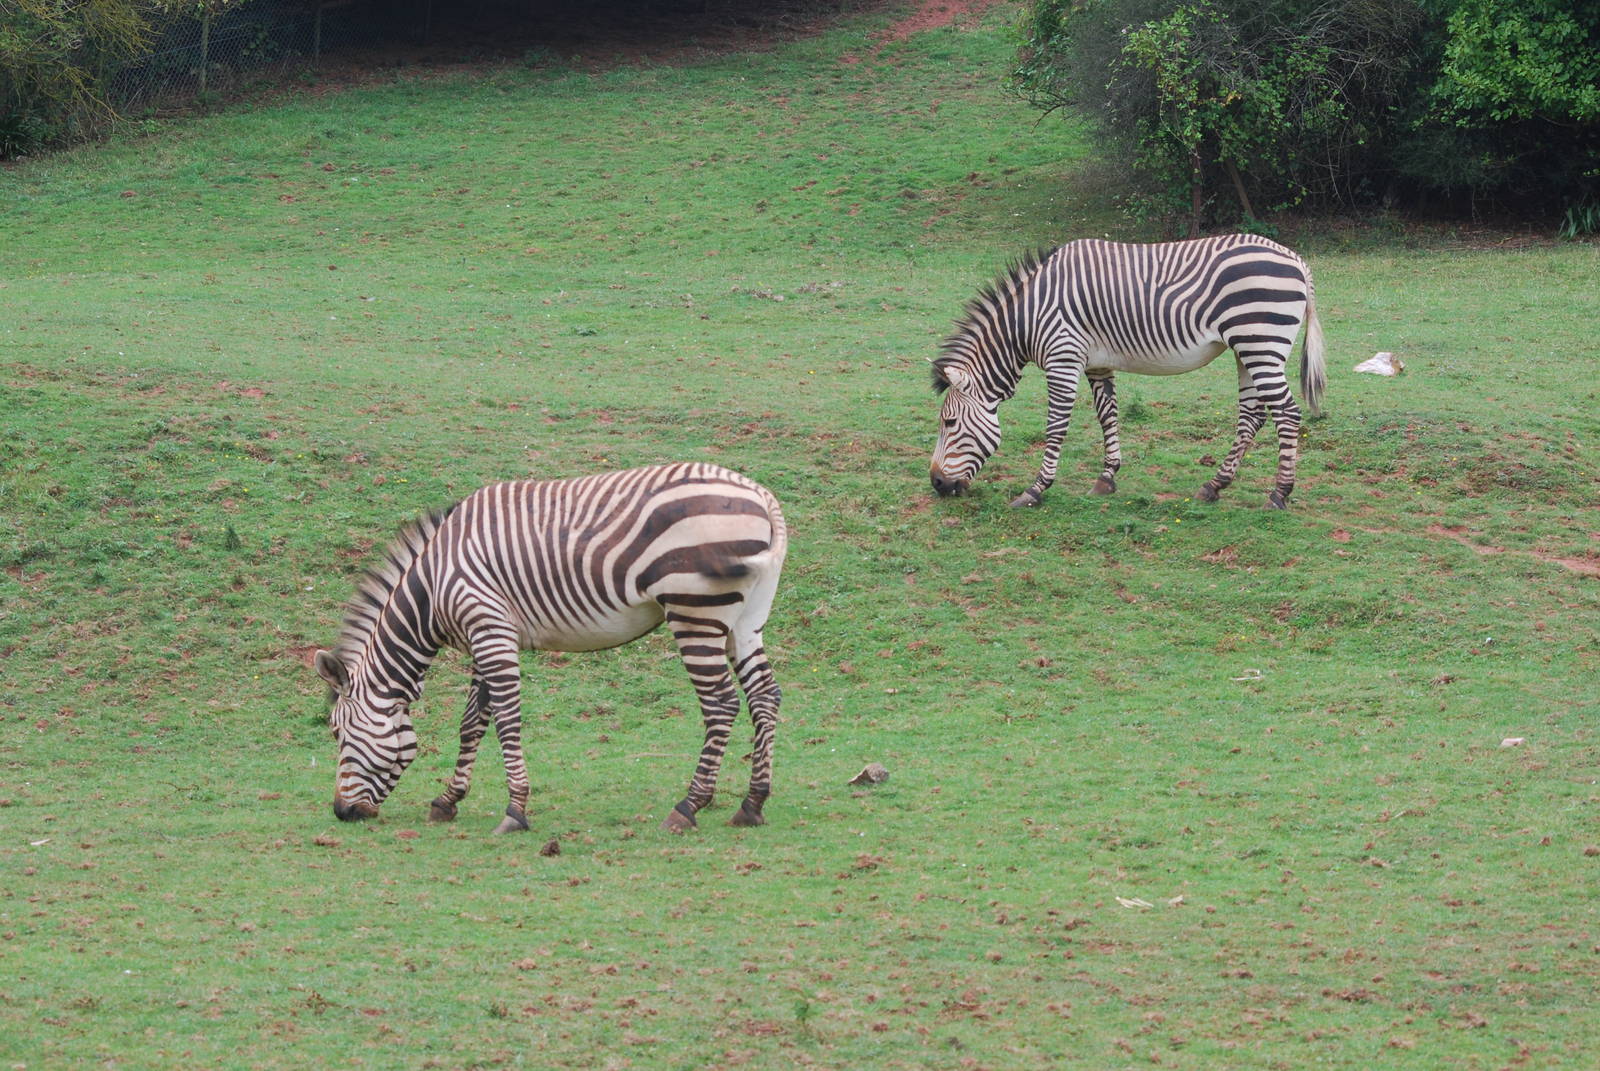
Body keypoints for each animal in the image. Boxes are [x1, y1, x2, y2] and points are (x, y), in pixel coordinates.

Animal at [312, 462, 788, 835]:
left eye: (336, 732)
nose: (342, 813)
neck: (431, 589)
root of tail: (762, 496)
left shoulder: (489, 629)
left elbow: (505, 721)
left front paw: (515, 811)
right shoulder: (485, 635)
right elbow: (472, 722)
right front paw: (447, 801)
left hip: (695, 610)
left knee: (721, 703)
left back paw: (688, 806)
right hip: (746, 618)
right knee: (764, 695)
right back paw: (752, 804)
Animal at [929, 234, 1327, 509]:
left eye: (949, 423)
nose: (936, 484)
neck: (1028, 318)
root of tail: (1296, 259)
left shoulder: (1063, 358)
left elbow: (1055, 427)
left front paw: (1036, 490)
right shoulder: (1097, 363)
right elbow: (1108, 416)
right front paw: (1107, 478)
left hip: (1261, 342)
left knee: (1287, 413)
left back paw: (1279, 494)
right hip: (1247, 349)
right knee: (1252, 416)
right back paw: (1214, 486)